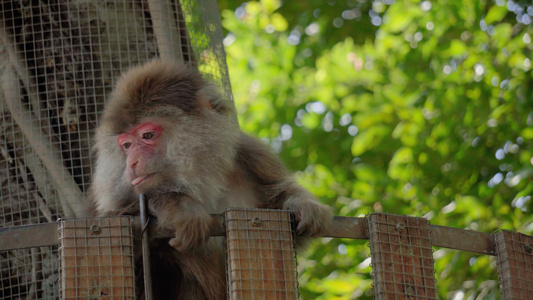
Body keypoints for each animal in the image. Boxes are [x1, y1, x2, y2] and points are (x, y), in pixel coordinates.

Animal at [87, 59, 332, 300]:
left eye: (147, 135)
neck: (200, 181)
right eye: (127, 145)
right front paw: (177, 205)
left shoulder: (250, 156)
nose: (131, 163)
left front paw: (302, 204)